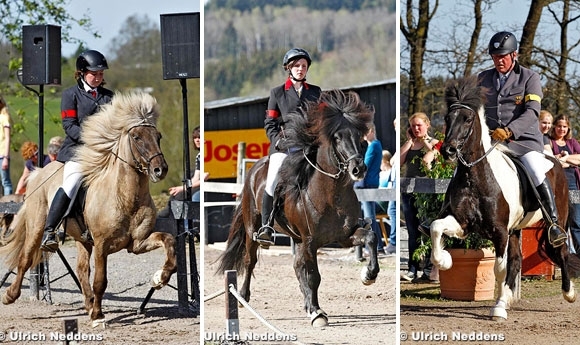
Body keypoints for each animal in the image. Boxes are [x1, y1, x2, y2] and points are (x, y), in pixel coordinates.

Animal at [0, 90, 177, 326]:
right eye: (136, 137)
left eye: (158, 137)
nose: (160, 170)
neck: (126, 197)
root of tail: (40, 171)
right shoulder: (102, 244)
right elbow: (101, 280)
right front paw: (98, 316)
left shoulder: (138, 243)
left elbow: (169, 242)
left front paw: (160, 278)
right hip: (37, 227)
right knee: (26, 258)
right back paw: (10, 295)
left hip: (82, 238)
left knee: (82, 269)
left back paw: (89, 303)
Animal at [216, 88, 376, 326]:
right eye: (337, 137)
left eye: (359, 137)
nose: (358, 169)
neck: (332, 195)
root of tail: (255, 169)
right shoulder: (311, 241)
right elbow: (314, 275)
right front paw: (318, 313)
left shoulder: (344, 236)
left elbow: (370, 238)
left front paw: (368, 276)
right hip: (253, 228)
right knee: (250, 260)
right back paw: (243, 297)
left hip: (297, 238)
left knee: (297, 265)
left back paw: (307, 304)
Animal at [428, 76, 576, 320]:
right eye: (448, 118)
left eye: (468, 119)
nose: (448, 151)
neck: (474, 177)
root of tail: (556, 162)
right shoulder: (463, 224)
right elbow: (435, 227)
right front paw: (445, 260)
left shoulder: (499, 232)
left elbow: (499, 268)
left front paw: (497, 309)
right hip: (515, 229)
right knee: (516, 260)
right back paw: (508, 299)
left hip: (557, 221)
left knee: (561, 251)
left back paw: (569, 293)